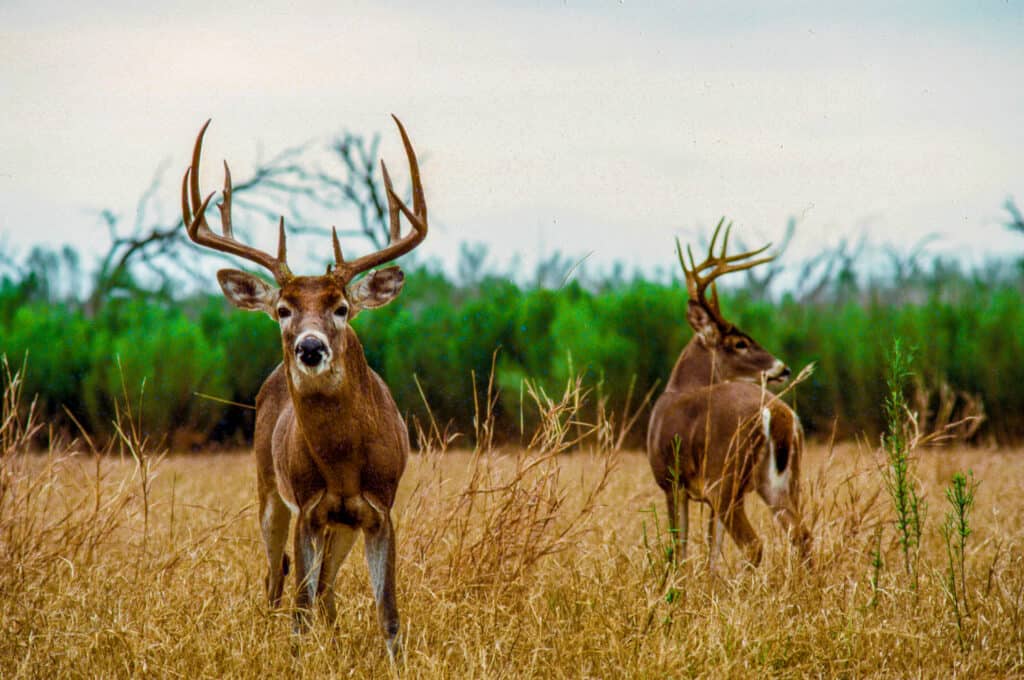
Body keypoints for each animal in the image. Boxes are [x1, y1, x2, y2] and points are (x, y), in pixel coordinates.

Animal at [180, 114, 428, 655]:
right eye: (282, 309)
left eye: (342, 307)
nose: (310, 347)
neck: (343, 464)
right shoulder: (308, 510)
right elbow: (300, 609)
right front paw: (297, 655)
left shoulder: (379, 509)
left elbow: (389, 615)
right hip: (268, 491)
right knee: (277, 581)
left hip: (341, 526)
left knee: (328, 588)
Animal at [647, 223, 806, 569]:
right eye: (739, 343)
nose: (783, 368)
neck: (678, 388)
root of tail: (777, 414)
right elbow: (712, 552)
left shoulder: (672, 482)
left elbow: (679, 550)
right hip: (781, 482)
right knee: (801, 536)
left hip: (726, 477)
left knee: (754, 544)